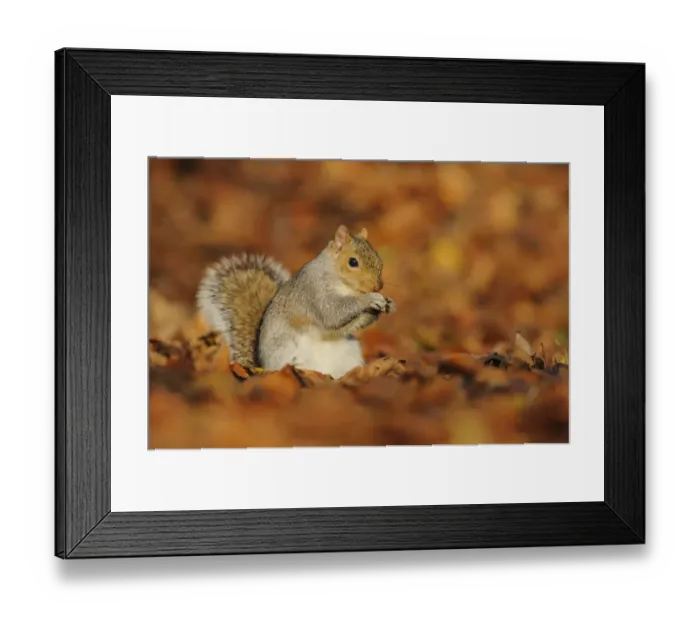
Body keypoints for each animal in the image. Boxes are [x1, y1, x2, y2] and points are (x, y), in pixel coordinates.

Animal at [196, 225, 396, 379]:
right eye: (353, 262)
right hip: (286, 351)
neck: (341, 283)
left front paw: (387, 303)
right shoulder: (314, 291)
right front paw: (369, 299)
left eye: (378, 257)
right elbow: (332, 313)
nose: (378, 286)